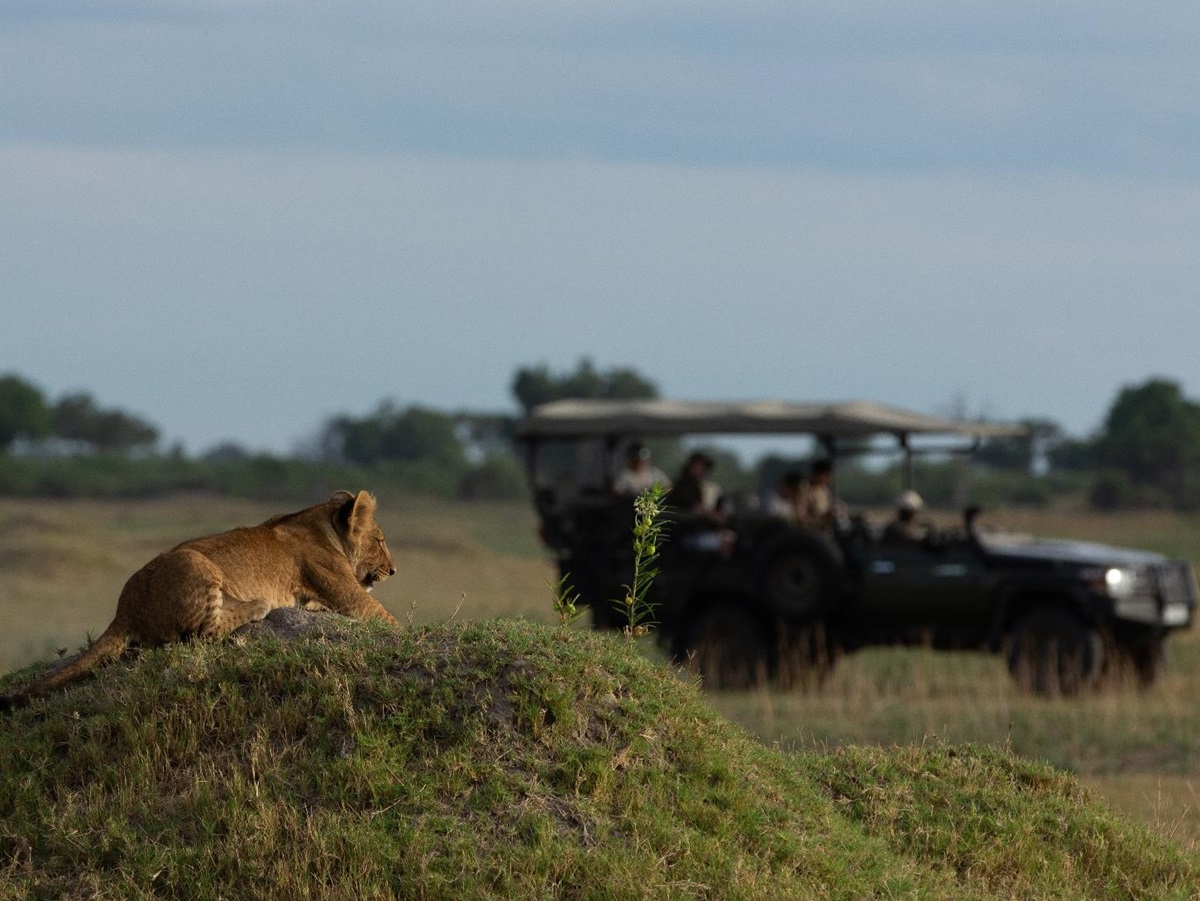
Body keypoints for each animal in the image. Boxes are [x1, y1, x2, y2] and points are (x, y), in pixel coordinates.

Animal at [0, 490, 398, 712]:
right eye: (380, 541)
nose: (394, 570)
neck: (323, 524)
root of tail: (124, 607)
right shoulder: (351, 598)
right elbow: (389, 620)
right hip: (195, 561)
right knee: (203, 633)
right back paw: (255, 605)